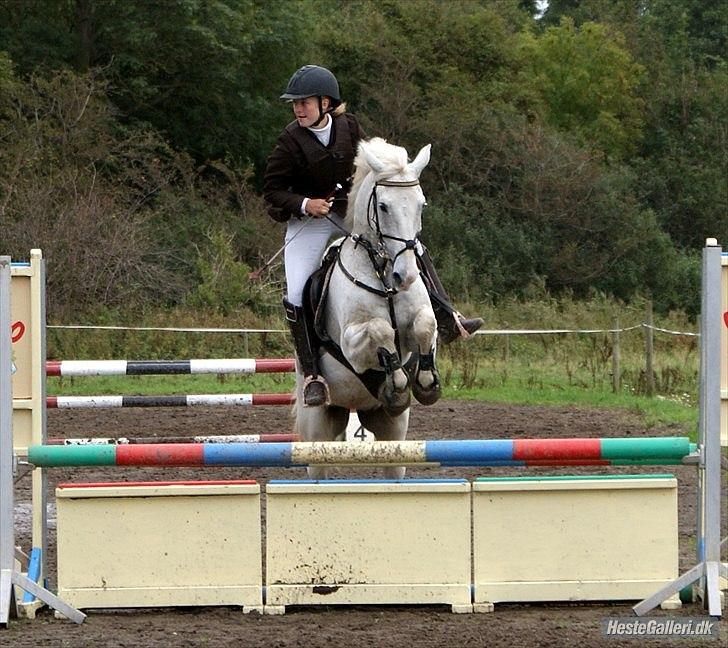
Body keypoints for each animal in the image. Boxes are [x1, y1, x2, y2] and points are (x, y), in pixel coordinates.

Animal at [294, 137, 440, 478]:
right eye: (383, 206)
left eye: (421, 204)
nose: (406, 276)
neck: (383, 272)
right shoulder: (352, 345)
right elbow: (380, 329)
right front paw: (397, 381)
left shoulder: (421, 323)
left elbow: (425, 326)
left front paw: (425, 382)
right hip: (318, 426)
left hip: (392, 431)